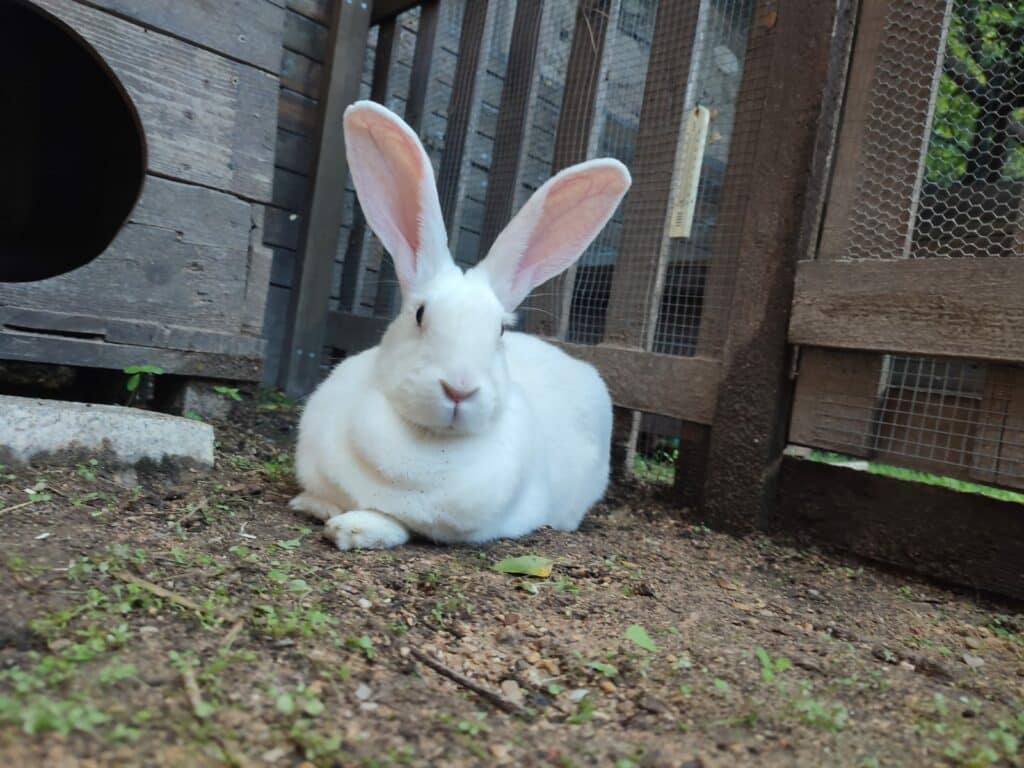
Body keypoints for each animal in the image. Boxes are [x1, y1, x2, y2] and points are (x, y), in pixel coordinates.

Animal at [290, 100, 631, 550]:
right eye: (420, 314)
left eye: (500, 331)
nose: (459, 389)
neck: (431, 443)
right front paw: (315, 506)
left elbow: (399, 522)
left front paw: (354, 528)